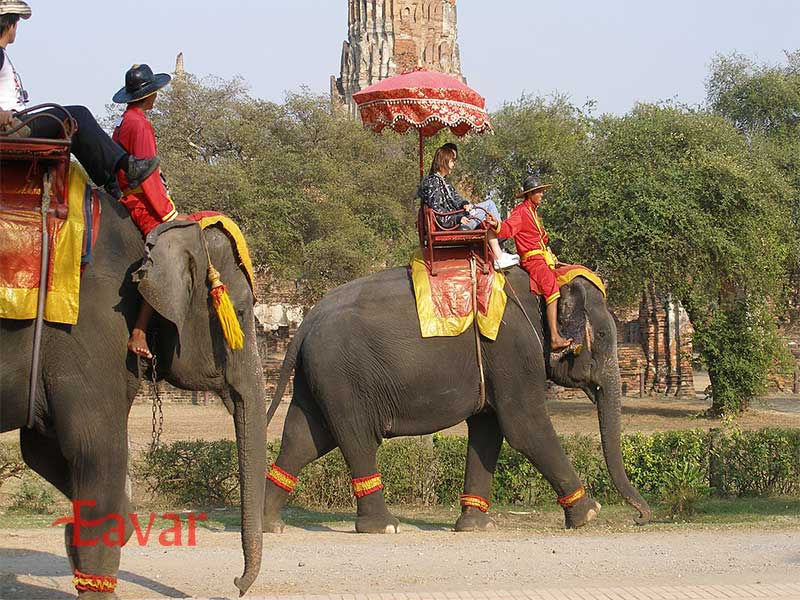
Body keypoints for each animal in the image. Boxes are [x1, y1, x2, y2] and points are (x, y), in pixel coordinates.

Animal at [0, 196, 268, 596]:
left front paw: (78, 532)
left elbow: (42, 450)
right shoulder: (88, 333)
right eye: (239, 312)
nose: (236, 583)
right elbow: (96, 448)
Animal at [262, 268, 648, 536]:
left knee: (305, 438)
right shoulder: (512, 348)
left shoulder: (495, 361)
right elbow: (524, 427)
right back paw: (385, 526)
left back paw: (270, 524)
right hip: (344, 376)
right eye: (602, 335)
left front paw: (477, 526)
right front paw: (589, 514)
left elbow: (489, 429)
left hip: (319, 378)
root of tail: (306, 321)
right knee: (357, 438)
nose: (641, 517)